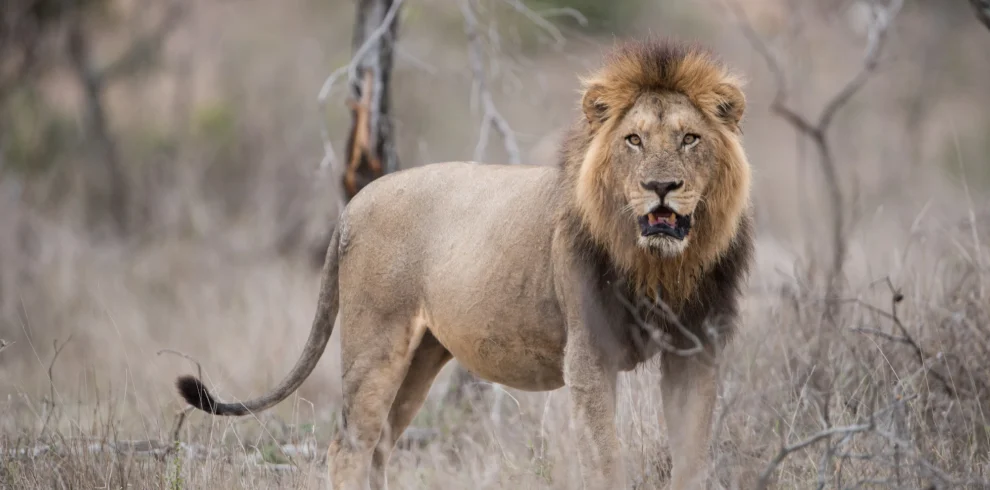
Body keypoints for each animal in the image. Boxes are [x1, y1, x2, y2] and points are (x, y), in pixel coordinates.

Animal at [175, 38, 753, 490]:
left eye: (689, 138)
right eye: (633, 140)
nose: (661, 187)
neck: (661, 268)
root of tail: (354, 203)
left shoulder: (696, 350)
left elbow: (692, 459)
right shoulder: (589, 355)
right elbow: (605, 462)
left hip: (423, 355)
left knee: (382, 444)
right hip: (375, 343)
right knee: (350, 445)